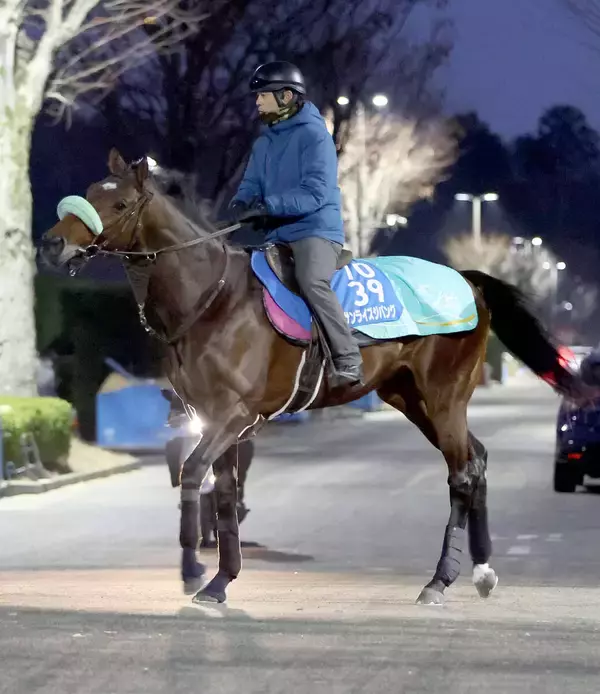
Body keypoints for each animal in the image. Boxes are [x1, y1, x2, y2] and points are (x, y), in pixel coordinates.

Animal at [40, 148, 581, 606]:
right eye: (90, 190)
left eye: (119, 202)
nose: (52, 243)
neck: (212, 301)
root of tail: (468, 281)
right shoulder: (215, 419)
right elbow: (224, 492)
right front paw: (221, 579)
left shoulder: (233, 414)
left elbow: (194, 475)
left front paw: (194, 571)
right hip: (412, 398)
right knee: (477, 460)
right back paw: (483, 571)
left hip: (443, 396)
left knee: (462, 473)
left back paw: (439, 580)